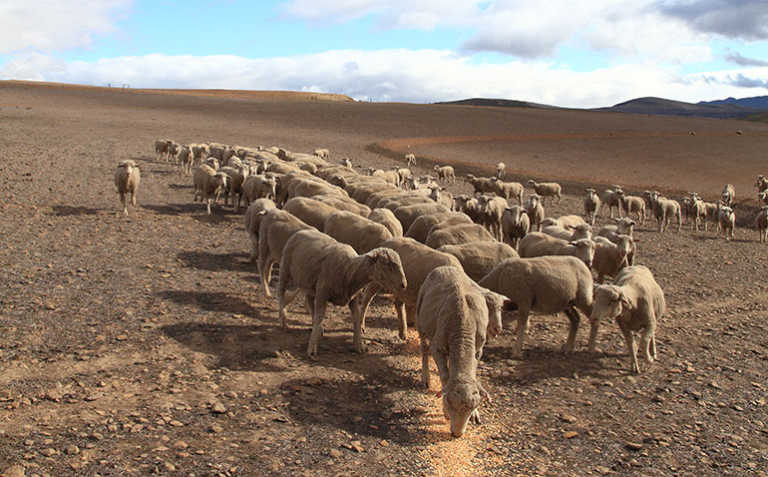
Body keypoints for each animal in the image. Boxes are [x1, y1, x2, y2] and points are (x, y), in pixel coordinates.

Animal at [278, 228, 408, 356]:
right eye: (387, 265)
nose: (404, 285)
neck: (349, 268)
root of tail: (301, 231)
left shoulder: (353, 298)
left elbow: (356, 318)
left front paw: (359, 346)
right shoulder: (322, 293)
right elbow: (320, 317)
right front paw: (312, 349)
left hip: (310, 282)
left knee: (309, 301)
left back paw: (316, 328)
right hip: (285, 269)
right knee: (280, 292)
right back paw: (283, 321)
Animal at [416, 266, 508, 436]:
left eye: (472, 407)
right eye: (450, 403)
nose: (457, 434)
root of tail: (445, 267)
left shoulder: (478, 349)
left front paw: (476, 415)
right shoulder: (437, 347)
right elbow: (445, 377)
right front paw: (444, 411)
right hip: (421, 320)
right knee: (424, 349)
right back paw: (426, 377)